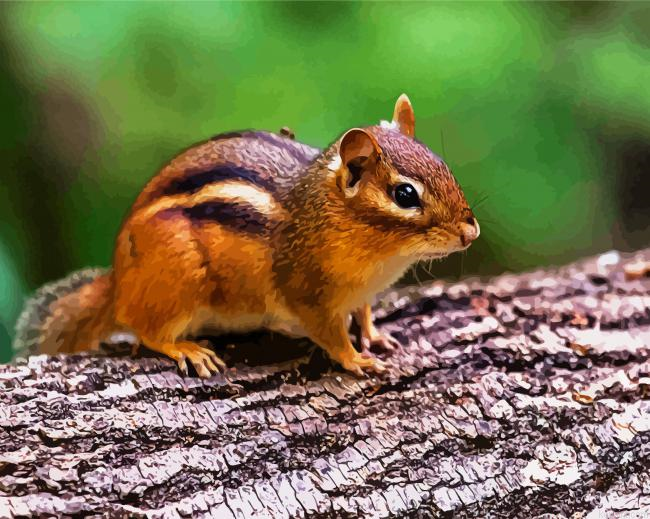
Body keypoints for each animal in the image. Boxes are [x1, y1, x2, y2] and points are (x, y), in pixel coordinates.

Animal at [13, 94, 479, 377]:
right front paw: (356, 360)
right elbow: (331, 335)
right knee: (146, 329)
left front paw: (375, 334)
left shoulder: (362, 291)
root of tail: (118, 281)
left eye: (444, 165)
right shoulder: (307, 294)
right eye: (405, 194)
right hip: (178, 275)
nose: (471, 231)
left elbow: (363, 311)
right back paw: (186, 349)